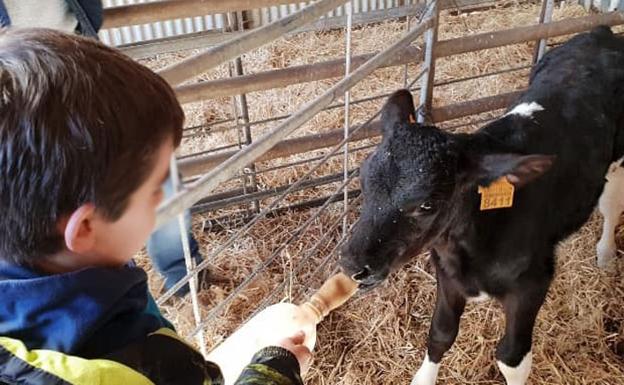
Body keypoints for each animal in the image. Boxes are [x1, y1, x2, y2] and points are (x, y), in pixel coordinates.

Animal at [338, 25, 624, 382]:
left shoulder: (533, 282)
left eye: (428, 205)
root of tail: (602, 32)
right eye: (363, 182)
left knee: (611, 204)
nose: (351, 263)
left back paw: (606, 253)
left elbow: (512, 358)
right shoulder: (447, 274)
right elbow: (441, 333)